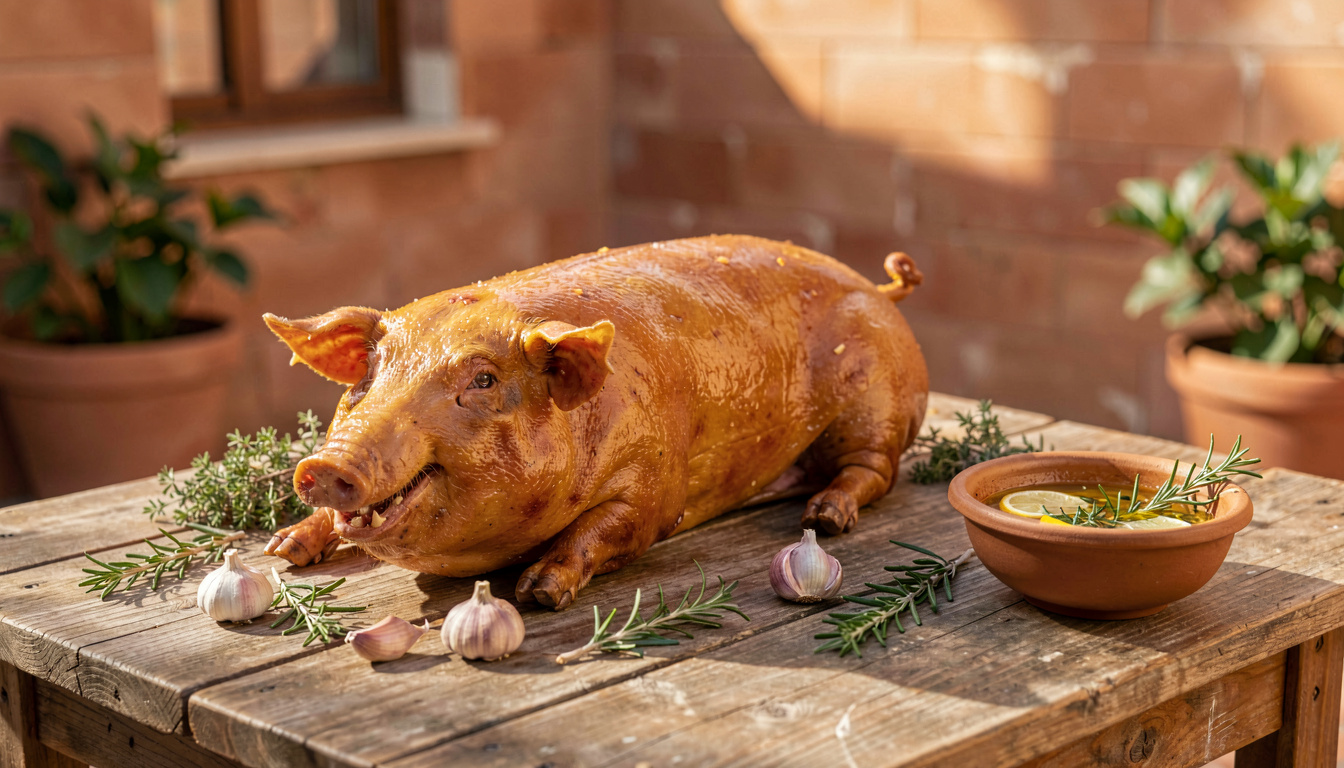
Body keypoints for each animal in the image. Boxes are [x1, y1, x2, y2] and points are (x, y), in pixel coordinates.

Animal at [262, 235, 928, 610]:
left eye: (482, 381)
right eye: (368, 376)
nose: (323, 465)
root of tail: (878, 288)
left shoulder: (656, 488)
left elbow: (611, 527)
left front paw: (538, 592)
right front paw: (283, 549)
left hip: (878, 404)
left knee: (874, 470)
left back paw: (824, 516)